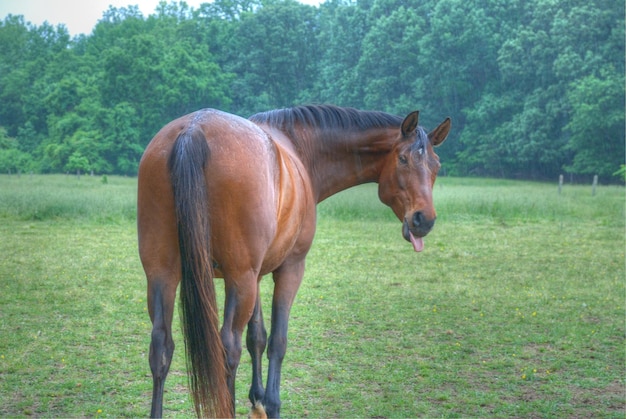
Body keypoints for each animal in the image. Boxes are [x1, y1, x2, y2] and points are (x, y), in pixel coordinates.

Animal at [136, 106, 448, 419]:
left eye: (436, 165)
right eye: (403, 159)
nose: (424, 220)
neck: (300, 149)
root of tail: (194, 129)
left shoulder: (257, 275)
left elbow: (257, 336)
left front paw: (257, 400)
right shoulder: (289, 269)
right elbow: (277, 341)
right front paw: (271, 404)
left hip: (164, 274)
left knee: (161, 346)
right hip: (238, 278)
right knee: (228, 348)